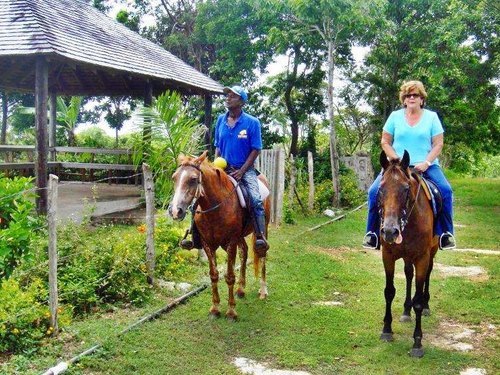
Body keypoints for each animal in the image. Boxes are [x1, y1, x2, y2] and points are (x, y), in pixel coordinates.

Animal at [168, 151, 270, 320]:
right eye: (174, 178)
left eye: (193, 179)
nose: (175, 211)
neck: (216, 207)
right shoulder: (208, 244)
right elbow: (214, 275)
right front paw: (215, 308)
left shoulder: (231, 243)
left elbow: (229, 276)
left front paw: (231, 311)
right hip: (240, 237)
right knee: (244, 251)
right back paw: (241, 289)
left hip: (263, 229)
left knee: (261, 254)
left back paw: (263, 290)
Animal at [378, 150, 438, 358]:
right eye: (381, 189)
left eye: (405, 189)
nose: (390, 231)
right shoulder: (388, 255)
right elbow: (389, 292)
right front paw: (387, 330)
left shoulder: (421, 258)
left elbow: (418, 300)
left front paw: (417, 343)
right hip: (406, 256)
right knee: (408, 274)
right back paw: (406, 311)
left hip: (431, 252)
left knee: (428, 273)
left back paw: (426, 307)